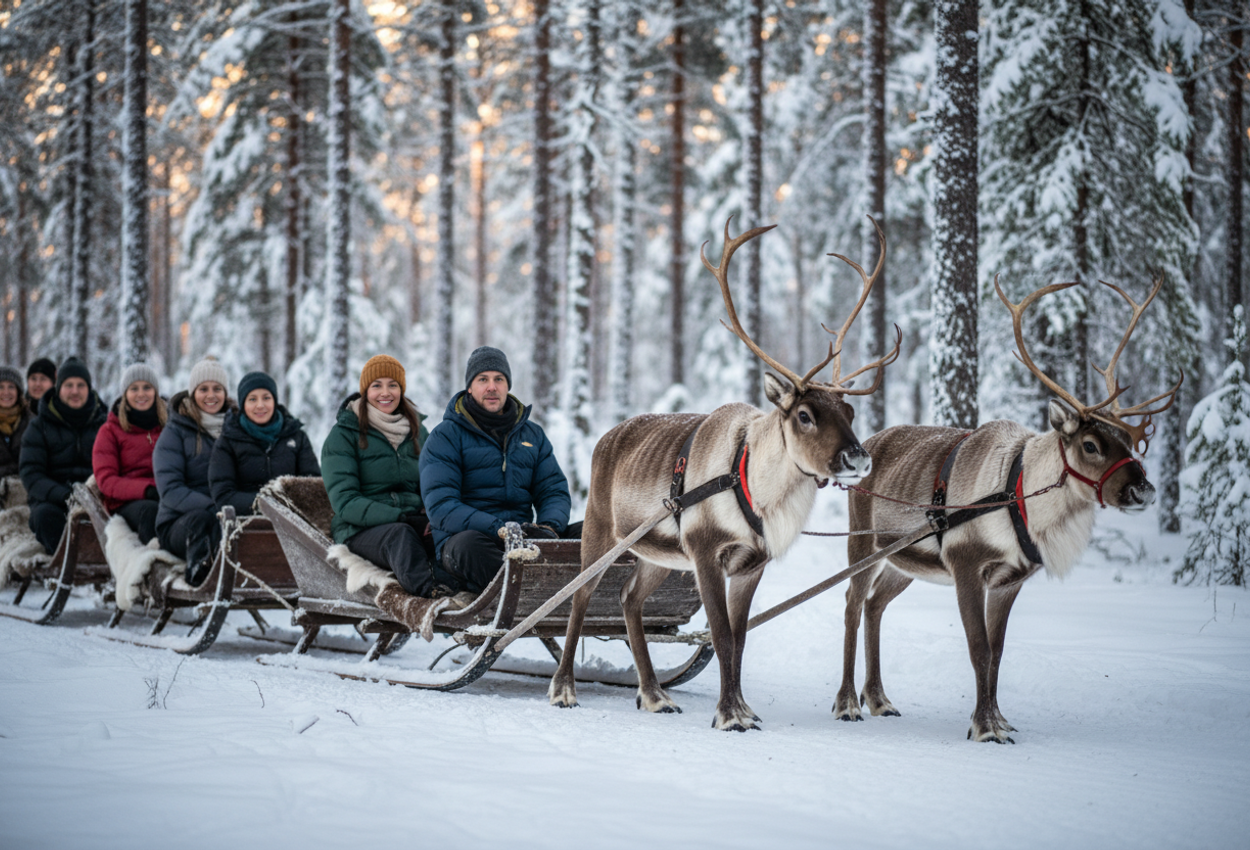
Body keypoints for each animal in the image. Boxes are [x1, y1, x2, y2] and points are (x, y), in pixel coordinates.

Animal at [548, 218, 900, 731]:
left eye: (849, 410)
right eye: (805, 415)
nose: (858, 459)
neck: (755, 487)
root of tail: (605, 438)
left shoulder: (751, 564)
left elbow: (737, 638)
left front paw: (742, 709)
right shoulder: (705, 551)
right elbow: (719, 633)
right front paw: (730, 715)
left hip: (657, 554)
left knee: (630, 598)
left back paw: (654, 695)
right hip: (601, 531)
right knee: (579, 598)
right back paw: (564, 689)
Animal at [834, 273, 1181, 743]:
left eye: (1127, 441)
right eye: (1091, 444)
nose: (1143, 491)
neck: (1021, 500)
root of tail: (866, 447)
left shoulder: (1009, 580)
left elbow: (997, 654)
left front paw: (999, 719)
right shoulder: (966, 566)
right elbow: (978, 649)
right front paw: (984, 729)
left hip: (904, 561)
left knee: (875, 606)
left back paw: (880, 699)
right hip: (865, 545)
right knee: (852, 604)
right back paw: (847, 703)